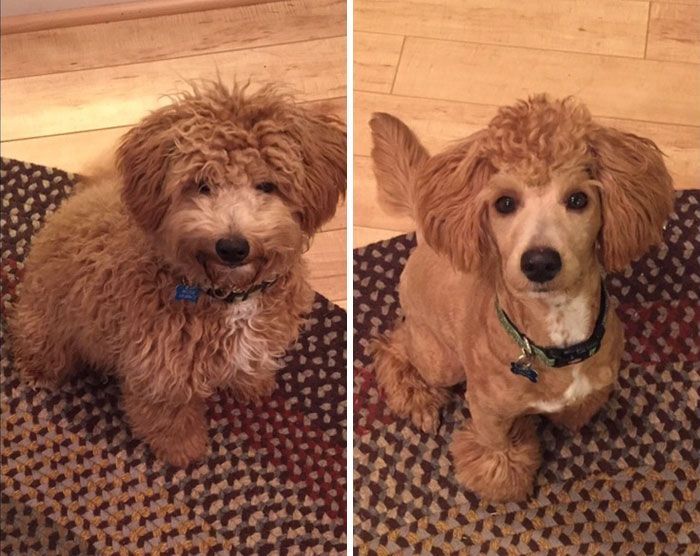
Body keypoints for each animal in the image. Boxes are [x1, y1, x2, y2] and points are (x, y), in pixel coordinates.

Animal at [12, 81, 346, 464]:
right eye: (202, 185)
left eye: (267, 185)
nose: (232, 247)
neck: (229, 296)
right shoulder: (159, 373)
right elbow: (169, 419)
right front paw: (184, 452)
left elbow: (251, 363)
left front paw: (252, 383)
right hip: (48, 331)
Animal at [372, 95, 672, 504]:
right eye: (504, 203)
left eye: (578, 199)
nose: (540, 262)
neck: (555, 337)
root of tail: (425, 238)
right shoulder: (486, 412)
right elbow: (497, 454)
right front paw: (507, 486)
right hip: (440, 361)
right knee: (395, 345)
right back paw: (417, 398)